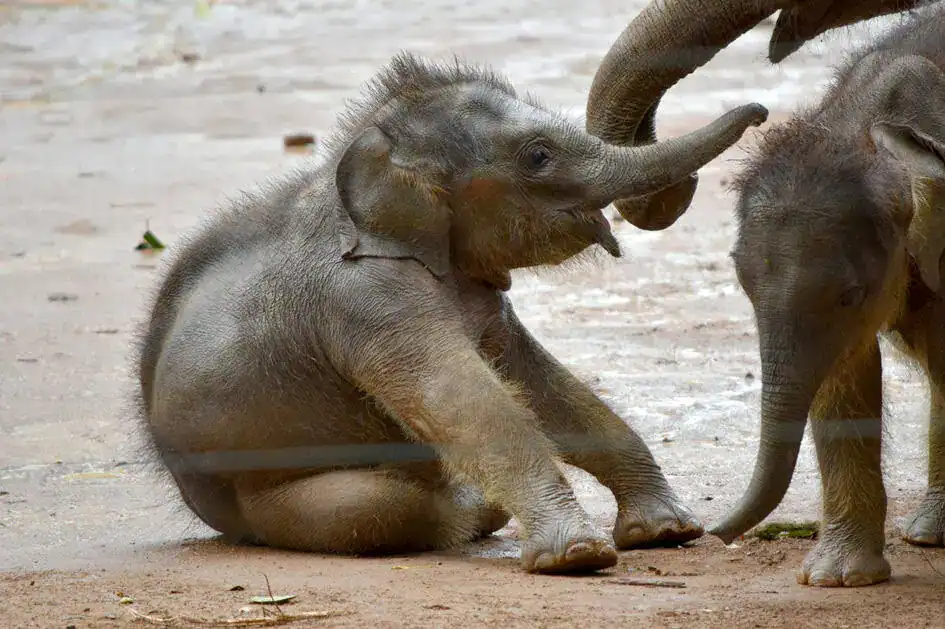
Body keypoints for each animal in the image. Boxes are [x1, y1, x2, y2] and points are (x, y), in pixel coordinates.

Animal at [135, 50, 768, 575]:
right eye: (539, 155)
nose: (762, 111)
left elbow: (539, 382)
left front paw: (667, 532)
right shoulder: (367, 298)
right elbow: (462, 400)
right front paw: (577, 557)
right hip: (261, 498)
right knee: (379, 507)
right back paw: (469, 510)